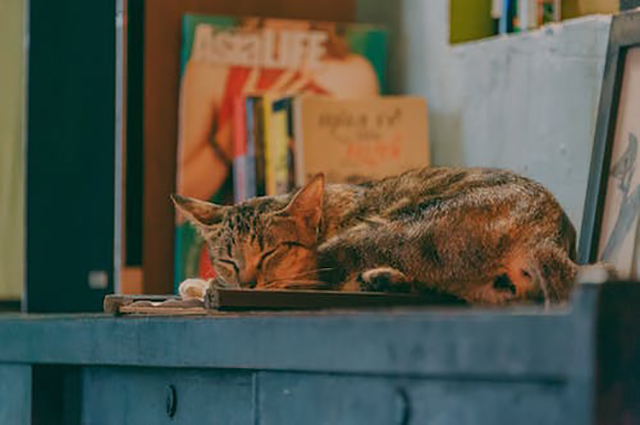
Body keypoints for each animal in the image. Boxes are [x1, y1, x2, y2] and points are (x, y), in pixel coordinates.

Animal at [174, 166, 580, 304]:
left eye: (270, 254)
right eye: (227, 259)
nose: (247, 284)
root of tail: (546, 232)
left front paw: (200, 284)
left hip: (384, 233)